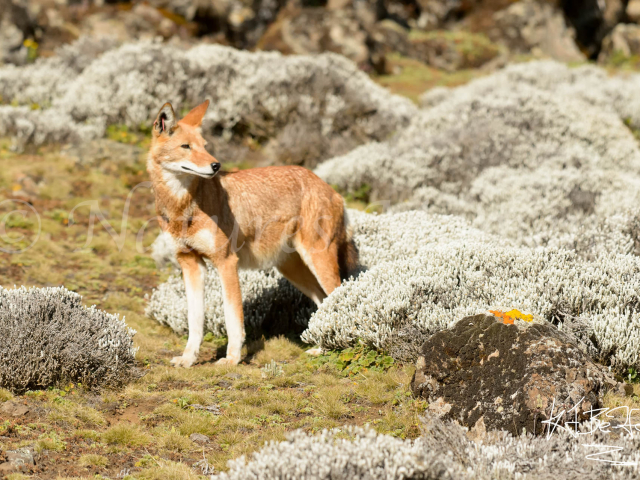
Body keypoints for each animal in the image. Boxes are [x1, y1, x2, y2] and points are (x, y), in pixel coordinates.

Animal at [147, 100, 358, 366]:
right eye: (186, 147)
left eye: (205, 146)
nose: (216, 165)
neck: (182, 208)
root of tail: (332, 189)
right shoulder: (191, 265)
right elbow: (194, 322)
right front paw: (188, 359)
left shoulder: (227, 262)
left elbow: (233, 319)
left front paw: (231, 360)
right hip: (293, 270)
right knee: (323, 302)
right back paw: (321, 349)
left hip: (317, 262)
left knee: (337, 298)